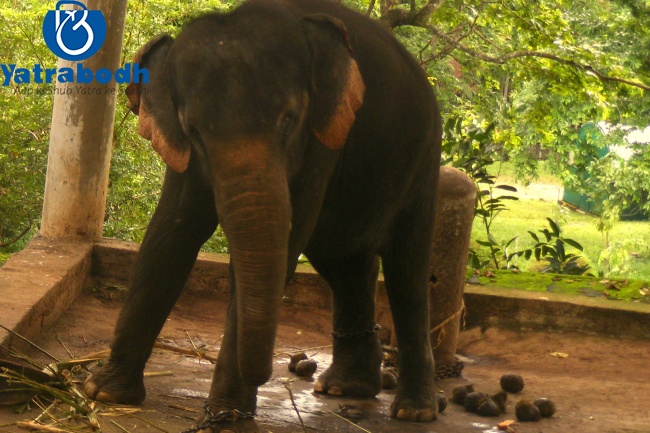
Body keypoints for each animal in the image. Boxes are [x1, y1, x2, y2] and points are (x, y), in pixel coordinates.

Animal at [83, 0, 442, 430]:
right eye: (194, 130)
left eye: (289, 118)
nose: (271, 372)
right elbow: (172, 231)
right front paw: (105, 393)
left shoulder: (321, 139)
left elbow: (287, 236)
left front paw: (226, 417)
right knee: (345, 262)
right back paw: (345, 388)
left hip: (425, 161)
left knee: (407, 270)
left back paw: (413, 410)